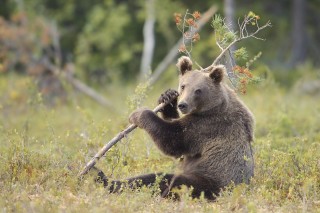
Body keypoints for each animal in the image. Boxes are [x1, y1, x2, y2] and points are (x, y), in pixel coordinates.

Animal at [95, 56, 255, 200]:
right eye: (183, 86)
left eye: (198, 90)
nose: (182, 104)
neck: (212, 107)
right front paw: (167, 97)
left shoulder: (206, 126)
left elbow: (173, 139)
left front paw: (139, 114)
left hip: (210, 179)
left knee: (166, 182)